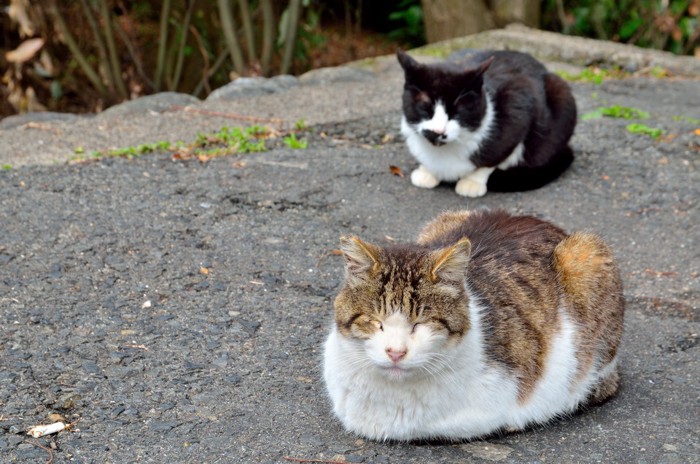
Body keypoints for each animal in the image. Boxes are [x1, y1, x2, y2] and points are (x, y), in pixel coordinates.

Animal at [396, 49, 576, 198]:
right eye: (425, 108)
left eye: (457, 112)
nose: (438, 131)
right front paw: (426, 171)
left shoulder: (518, 103)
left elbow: (494, 157)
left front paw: (472, 182)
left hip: (561, 93)